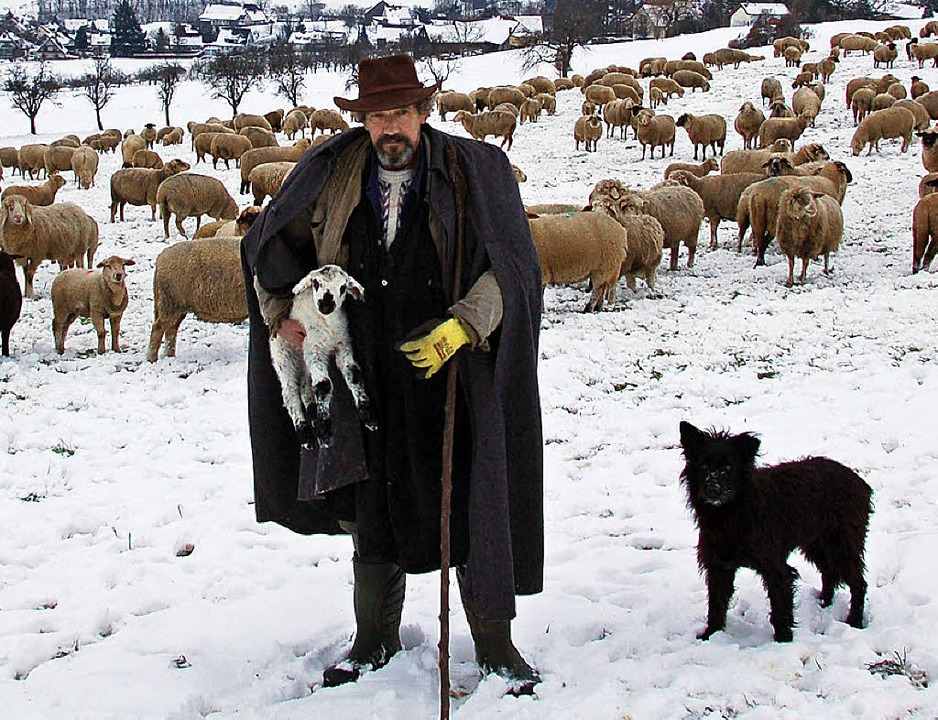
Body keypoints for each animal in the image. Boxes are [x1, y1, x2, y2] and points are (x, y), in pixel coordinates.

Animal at [680, 422, 872, 640]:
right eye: (703, 466)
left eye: (728, 467)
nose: (713, 490)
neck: (733, 511)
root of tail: (860, 483)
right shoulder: (719, 566)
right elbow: (716, 605)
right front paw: (710, 635)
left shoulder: (775, 567)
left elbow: (780, 607)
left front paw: (783, 639)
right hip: (817, 543)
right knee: (829, 572)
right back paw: (824, 603)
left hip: (843, 545)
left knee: (859, 583)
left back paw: (855, 621)